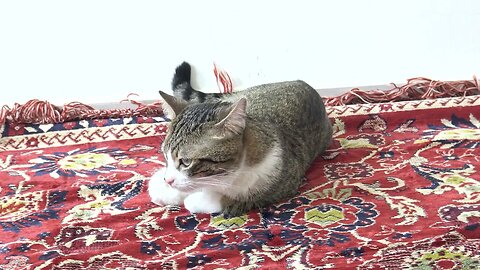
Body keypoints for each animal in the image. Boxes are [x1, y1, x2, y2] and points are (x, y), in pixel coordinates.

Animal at [148, 62, 332, 216]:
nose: (167, 180)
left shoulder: (282, 184)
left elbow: (224, 199)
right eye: (165, 157)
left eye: (186, 162)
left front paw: (197, 197)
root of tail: (302, 82)